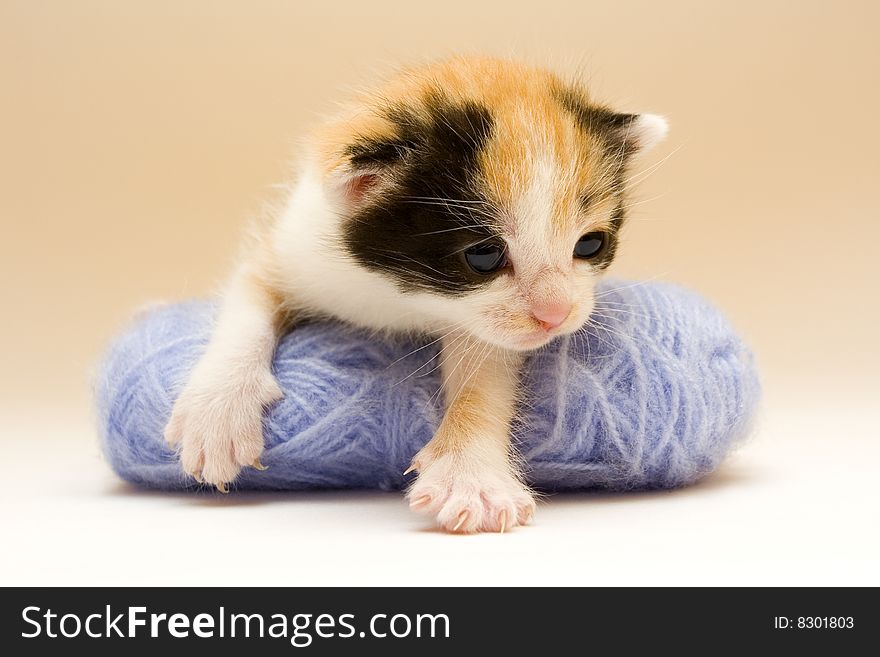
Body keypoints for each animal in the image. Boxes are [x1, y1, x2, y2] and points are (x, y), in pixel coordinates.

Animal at [163, 53, 668, 532]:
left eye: (590, 244)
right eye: (483, 256)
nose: (557, 314)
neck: (404, 296)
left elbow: (485, 373)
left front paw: (471, 476)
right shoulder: (294, 250)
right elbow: (247, 303)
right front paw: (218, 412)